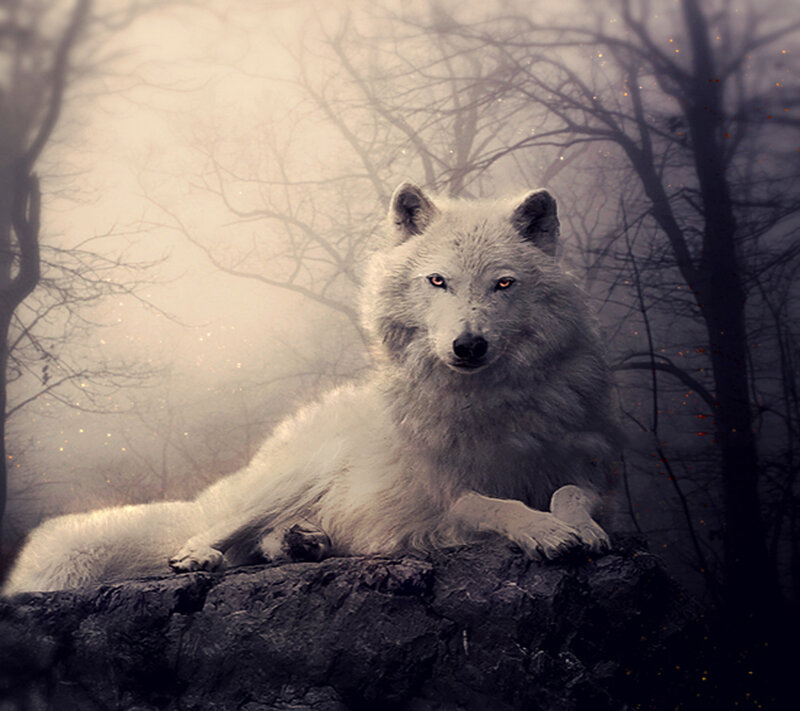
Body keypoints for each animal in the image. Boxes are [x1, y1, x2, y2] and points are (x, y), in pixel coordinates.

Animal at [3, 183, 621, 594]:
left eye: (503, 284)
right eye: (438, 281)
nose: (468, 346)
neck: (488, 401)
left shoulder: (591, 470)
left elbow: (572, 495)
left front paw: (578, 528)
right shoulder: (441, 497)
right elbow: (494, 503)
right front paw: (543, 531)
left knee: (261, 546)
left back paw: (303, 542)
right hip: (288, 480)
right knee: (215, 532)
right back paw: (202, 556)